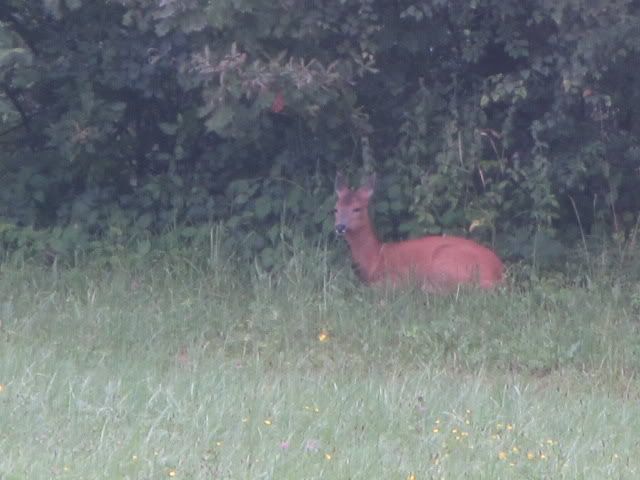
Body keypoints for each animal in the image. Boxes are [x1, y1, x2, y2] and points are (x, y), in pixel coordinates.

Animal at [336, 173, 504, 292]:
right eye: (336, 209)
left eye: (357, 208)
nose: (340, 227)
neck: (375, 257)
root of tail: (498, 272)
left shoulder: (395, 278)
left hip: (446, 262)